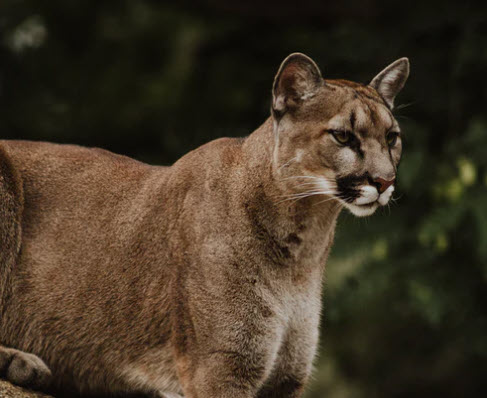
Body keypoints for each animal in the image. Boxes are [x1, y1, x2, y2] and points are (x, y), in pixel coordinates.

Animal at [0, 53, 408, 398]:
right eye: (343, 136)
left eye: (392, 137)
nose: (385, 181)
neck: (304, 243)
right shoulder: (220, 368)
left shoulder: (286, 377)